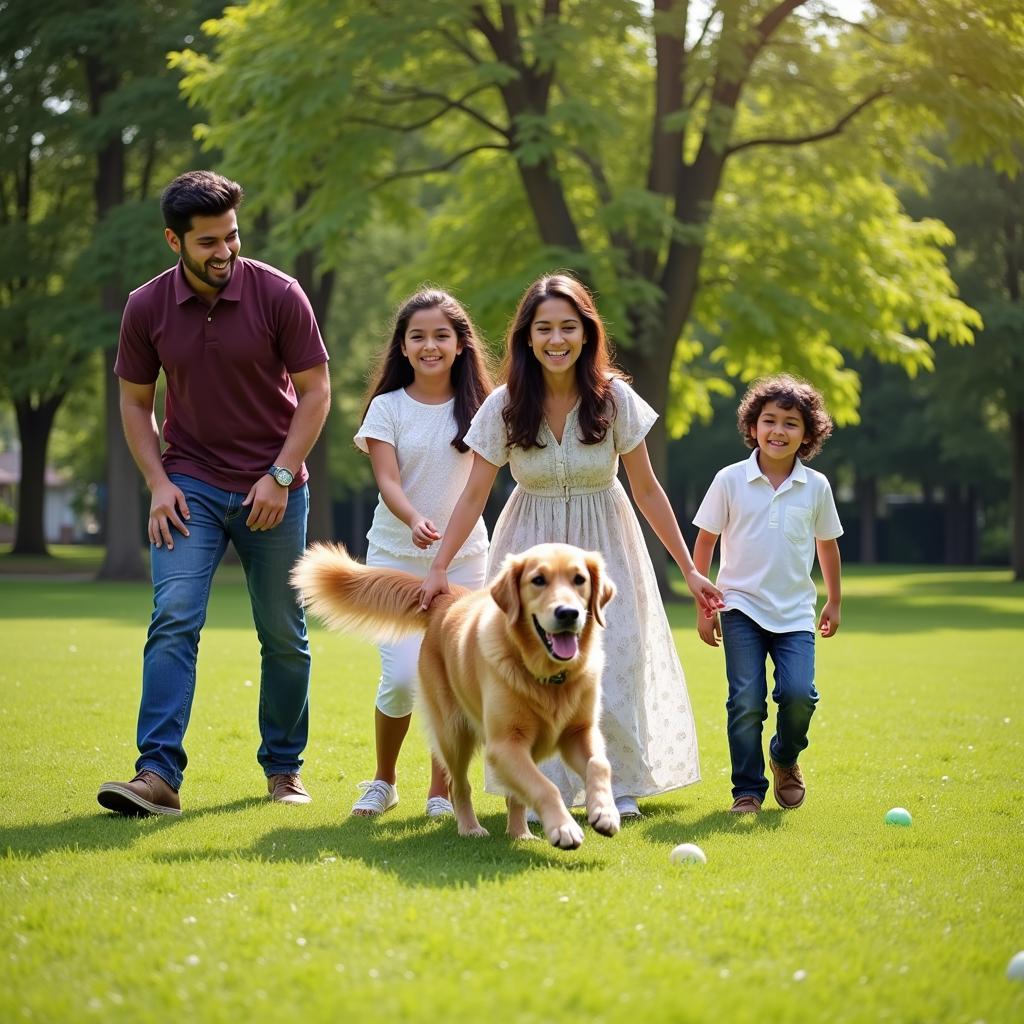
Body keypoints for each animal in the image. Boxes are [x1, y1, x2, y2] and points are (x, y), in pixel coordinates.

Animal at [292, 544, 618, 847]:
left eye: (579, 579)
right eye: (538, 580)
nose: (568, 613)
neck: (548, 677)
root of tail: (447, 598)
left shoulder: (578, 732)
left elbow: (599, 764)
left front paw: (605, 812)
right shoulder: (505, 743)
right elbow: (545, 786)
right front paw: (564, 828)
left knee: (513, 793)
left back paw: (520, 833)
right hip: (454, 732)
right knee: (458, 785)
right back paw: (470, 828)